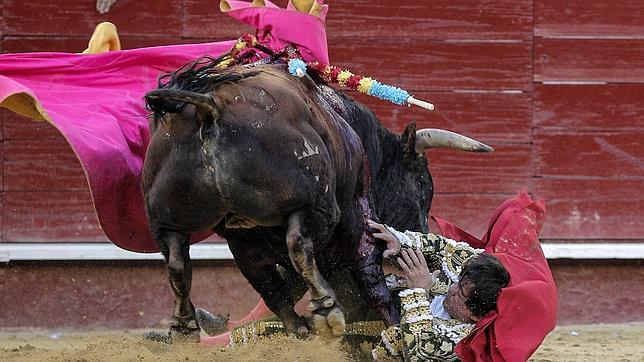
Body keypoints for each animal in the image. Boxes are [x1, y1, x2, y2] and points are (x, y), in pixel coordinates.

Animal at [142, 59, 494, 340]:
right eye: (422, 183)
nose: (422, 231)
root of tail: (211, 105)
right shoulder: (356, 213)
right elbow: (367, 275)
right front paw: (394, 323)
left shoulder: (249, 240)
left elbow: (278, 285)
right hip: (313, 204)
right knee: (298, 245)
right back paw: (325, 311)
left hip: (177, 222)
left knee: (180, 263)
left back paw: (189, 325)